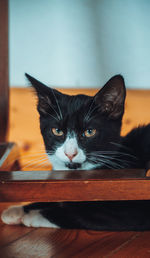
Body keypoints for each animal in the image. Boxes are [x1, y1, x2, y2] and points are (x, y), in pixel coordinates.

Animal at [1, 74, 150, 230]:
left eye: (90, 132)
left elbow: (78, 214)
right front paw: (16, 210)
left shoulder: (129, 211)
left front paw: (34, 216)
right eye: (57, 131)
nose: (70, 153)